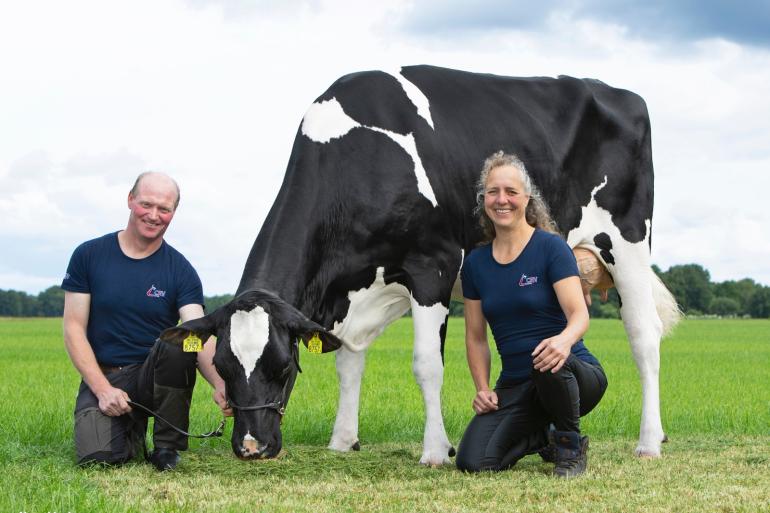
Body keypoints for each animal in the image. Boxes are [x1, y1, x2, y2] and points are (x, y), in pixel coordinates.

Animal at [159, 65, 676, 464]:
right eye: (221, 366)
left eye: (284, 367)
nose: (251, 447)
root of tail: (618, 92)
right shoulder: (357, 290)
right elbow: (348, 361)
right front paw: (343, 441)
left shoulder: (434, 266)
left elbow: (427, 364)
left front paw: (435, 450)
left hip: (627, 243)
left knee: (643, 338)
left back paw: (650, 441)